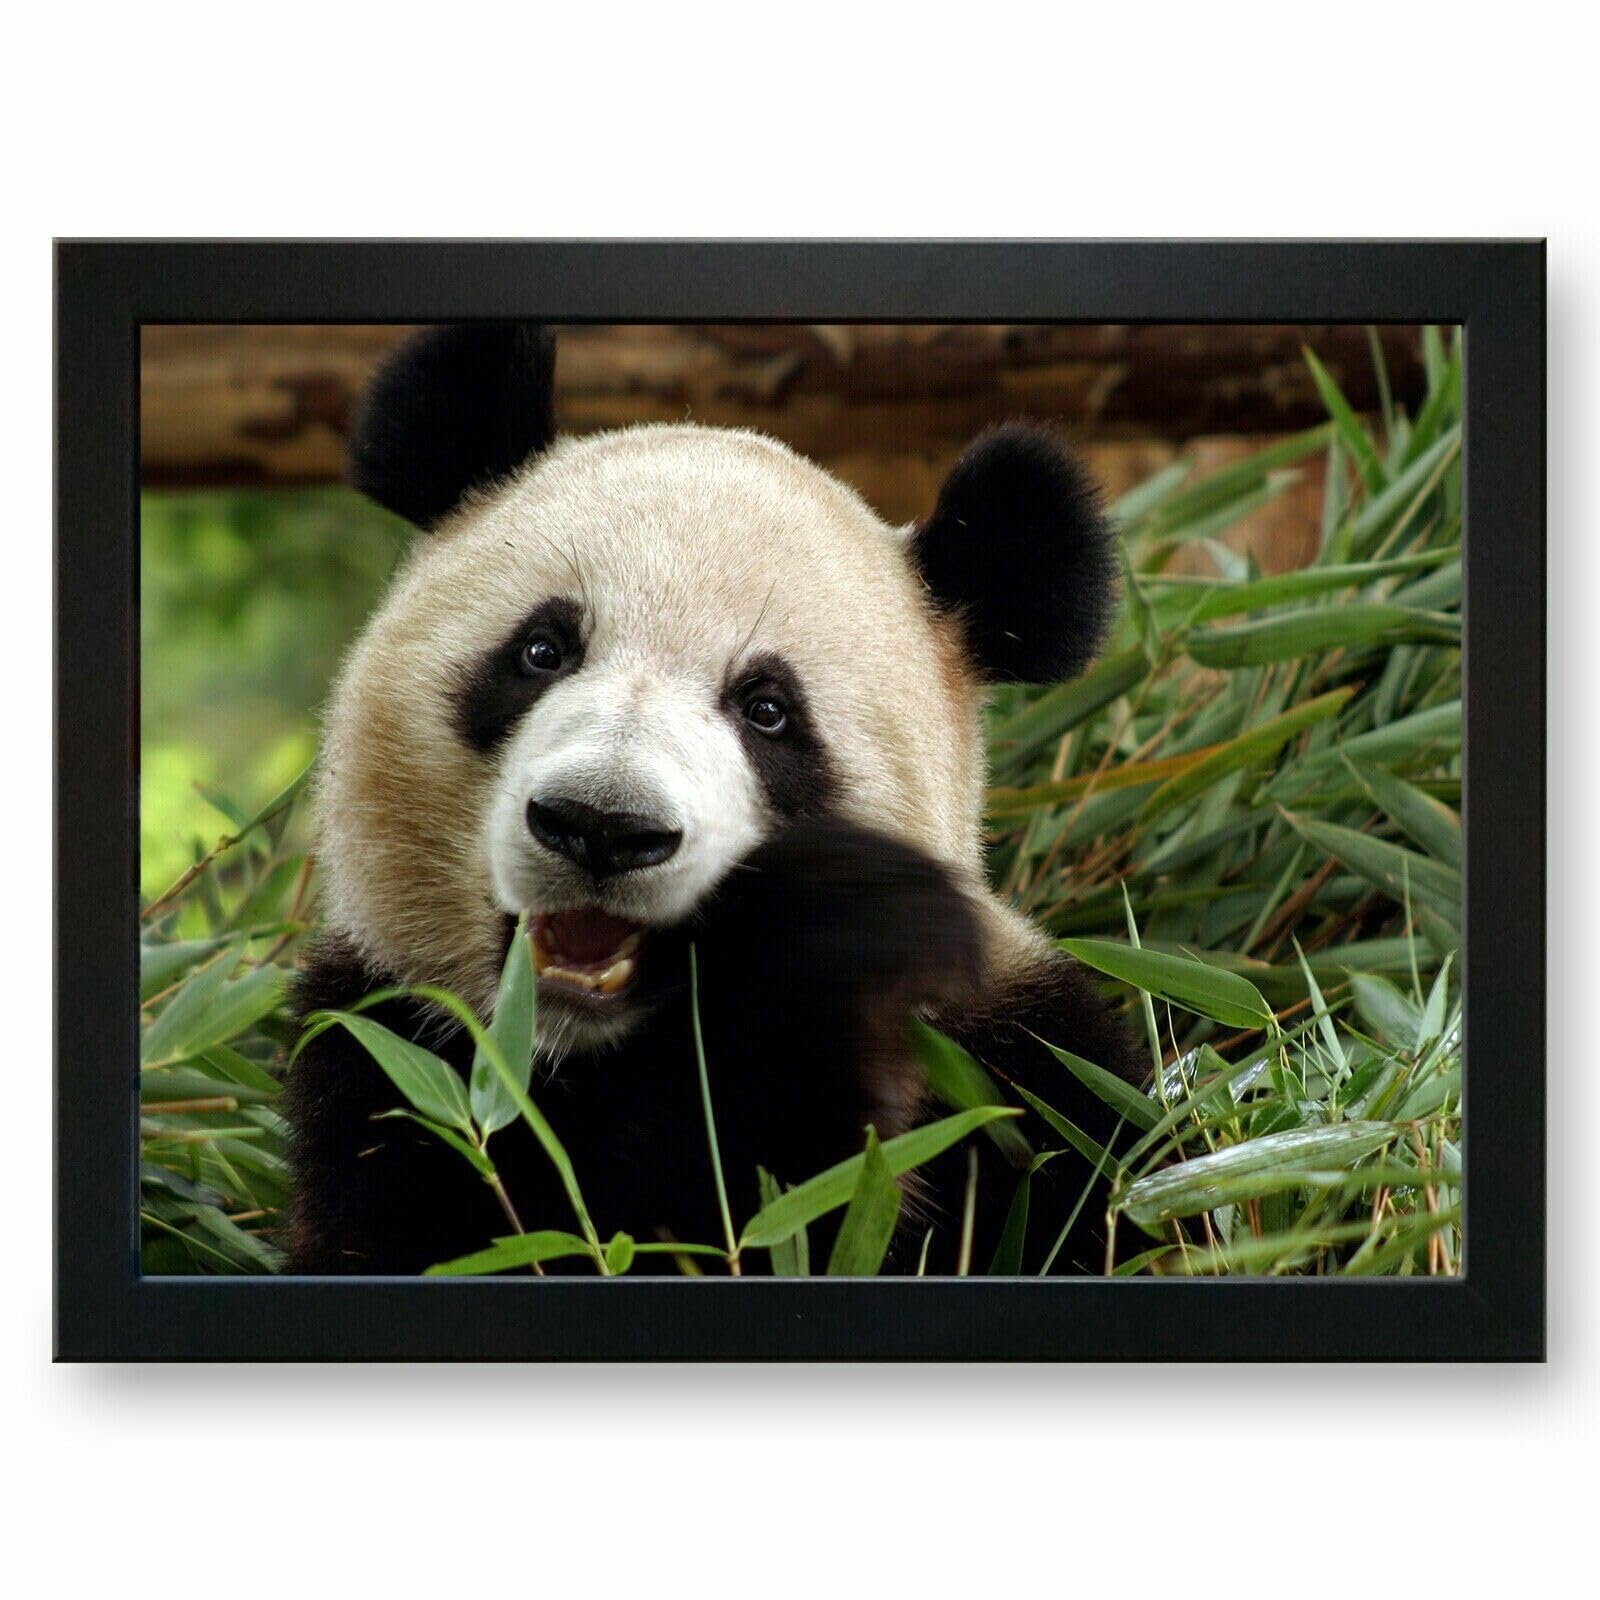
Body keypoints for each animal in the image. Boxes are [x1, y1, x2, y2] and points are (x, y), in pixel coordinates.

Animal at [283, 322, 1145, 1276]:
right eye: (542, 651)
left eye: (768, 710)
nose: (601, 827)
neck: (586, 1055)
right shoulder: (387, 1061)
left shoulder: (1023, 1074)